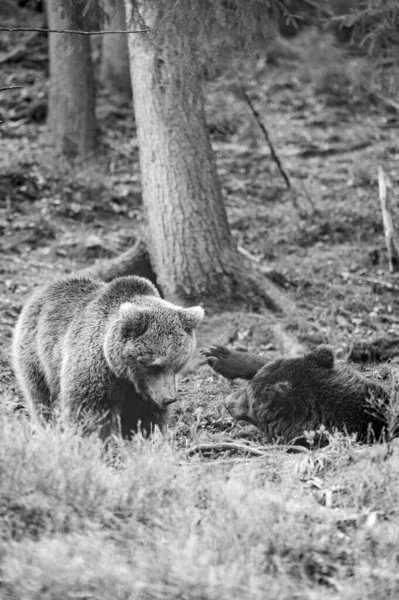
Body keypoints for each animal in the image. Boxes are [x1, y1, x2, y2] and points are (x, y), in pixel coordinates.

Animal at [13, 276, 205, 436]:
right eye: (156, 365)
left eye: (178, 365)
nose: (169, 399)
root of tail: (43, 290)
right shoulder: (95, 370)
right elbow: (88, 412)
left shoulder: (144, 390)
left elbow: (145, 418)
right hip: (37, 356)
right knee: (42, 398)